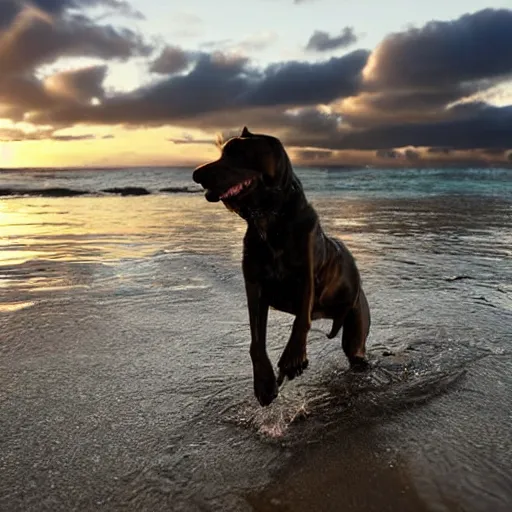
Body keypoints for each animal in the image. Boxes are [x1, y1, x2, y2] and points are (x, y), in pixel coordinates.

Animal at [194, 129, 370, 408]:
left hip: (356, 320)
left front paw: (293, 359)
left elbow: (301, 320)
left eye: (238, 153)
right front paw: (265, 383)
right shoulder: (255, 284)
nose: (196, 174)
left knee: (355, 351)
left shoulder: (306, 275)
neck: (270, 216)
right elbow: (256, 340)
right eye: (223, 153)